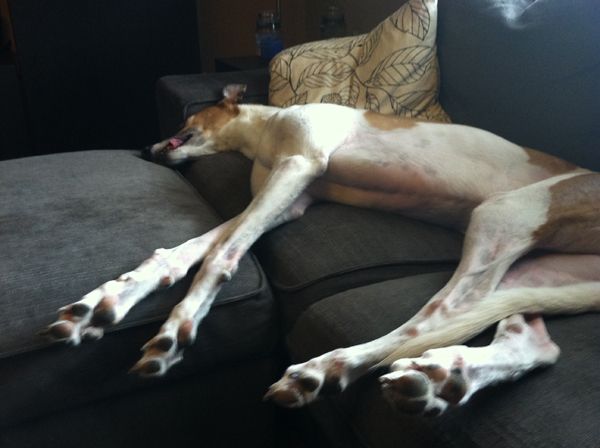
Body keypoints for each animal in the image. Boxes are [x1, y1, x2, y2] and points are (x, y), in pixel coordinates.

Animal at [43, 85, 600, 416]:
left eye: (187, 118)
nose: (144, 150)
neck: (266, 133)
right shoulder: (290, 195)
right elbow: (193, 249)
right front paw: (104, 304)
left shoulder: (300, 163)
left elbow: (220, 255)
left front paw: (174, 333)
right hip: (537, 274)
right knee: (533, 345)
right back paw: (446, 378)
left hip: (503, 217)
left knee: (434, 318)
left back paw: (329, 369)